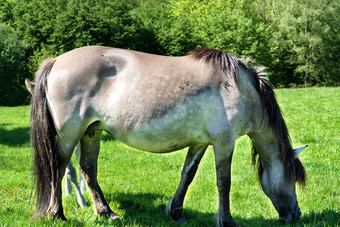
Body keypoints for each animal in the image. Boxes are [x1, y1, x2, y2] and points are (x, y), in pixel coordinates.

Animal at [27, 46, 306, 225]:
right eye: (292, 178)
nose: (296, 215)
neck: (240, 88)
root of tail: (56, 61)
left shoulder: (200, 143)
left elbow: (187, 175)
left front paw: (176, 212)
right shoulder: (224, 143)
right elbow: (224, 183)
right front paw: (227, 221)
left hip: (91, 132)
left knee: (87, 169)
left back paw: (106, 212)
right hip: (68, 135)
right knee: (58, 167)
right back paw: (56, 214)